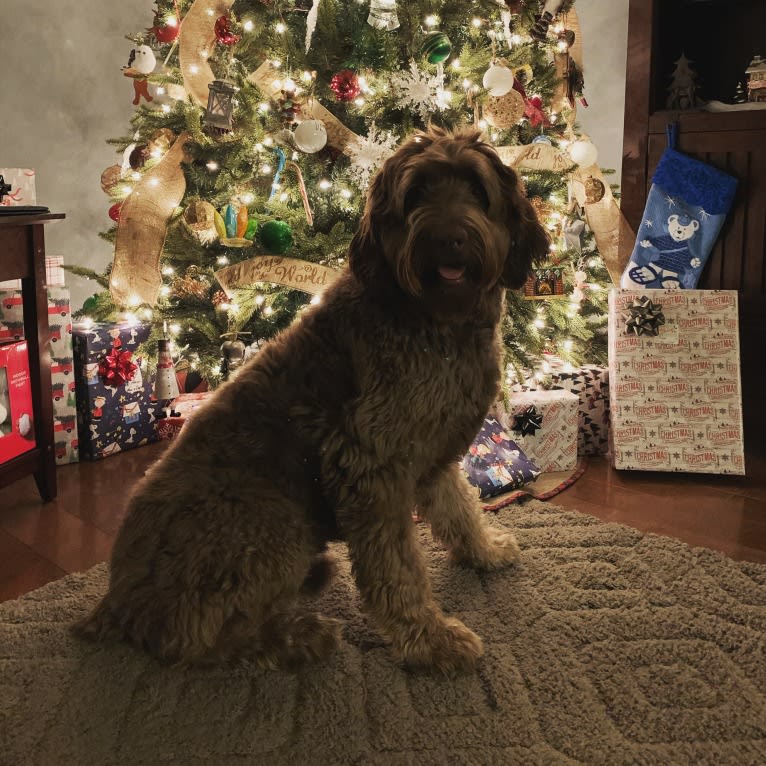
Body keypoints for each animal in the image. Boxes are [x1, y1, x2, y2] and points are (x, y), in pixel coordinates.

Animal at [75, 129, 548, 676]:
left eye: (475, 187)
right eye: (415, 195)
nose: (447, 237)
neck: (437, 323)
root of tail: (117, 600)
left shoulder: (434, 454)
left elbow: (461, 510)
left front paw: (485, 551)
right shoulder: (369, 465)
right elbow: (398, 568)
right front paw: (429, 641)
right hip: (271, 519)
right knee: (192, 638)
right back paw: (296, 637)